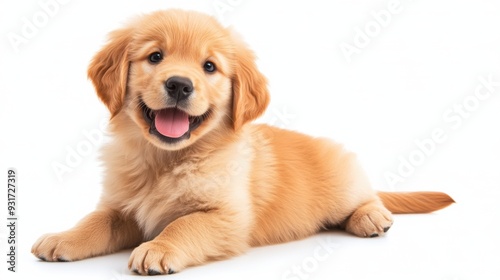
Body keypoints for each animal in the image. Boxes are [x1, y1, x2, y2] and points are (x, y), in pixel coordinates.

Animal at [30, 9, 454, 276]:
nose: (179, 84)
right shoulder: (121, 207)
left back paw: (371, 217)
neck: (166, 160)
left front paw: (158, 247)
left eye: (209, 67)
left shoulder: (228, 218)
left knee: (368, 196)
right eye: (155, 56)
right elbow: (95, 220)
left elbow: (184, 225)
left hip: (343, 180)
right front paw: (64, 237)